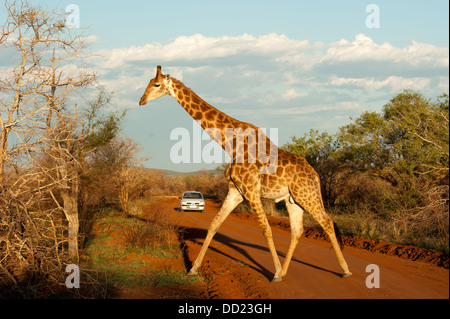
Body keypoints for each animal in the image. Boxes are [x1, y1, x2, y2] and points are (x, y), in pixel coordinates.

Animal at [138, 65, 352, 282]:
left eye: (157, 84)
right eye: (148, 82)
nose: (141, 100)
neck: (230, 144)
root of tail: (315, 175)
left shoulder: (250, 190)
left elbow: (266, 228)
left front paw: (275, 274)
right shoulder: (236, 191)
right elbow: (214, 224)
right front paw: (193, 268)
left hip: (306, 194)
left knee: (327, 222)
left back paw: (345, 270)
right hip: (293, 199)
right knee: (297, 230)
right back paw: (286, 270)